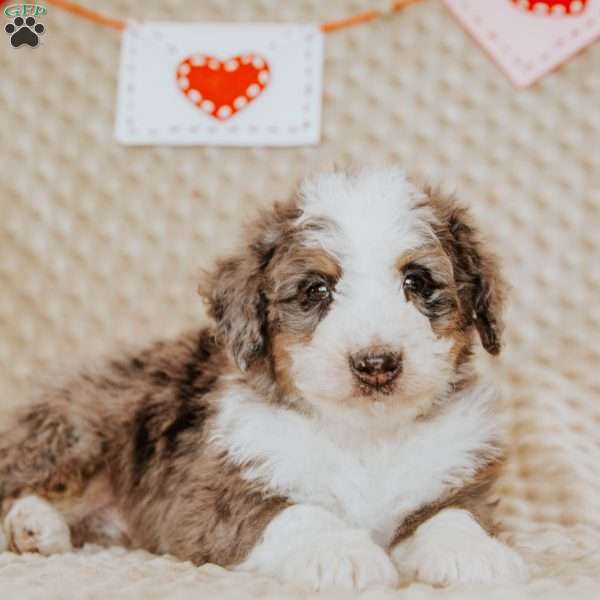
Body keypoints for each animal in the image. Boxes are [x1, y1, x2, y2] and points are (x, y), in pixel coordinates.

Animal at [0, 166, 528, 588]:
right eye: (316, 290)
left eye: (416, 282)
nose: (376, 364)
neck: (365, 437)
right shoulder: (206, 495)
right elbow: (295, 512)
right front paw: (343, 552)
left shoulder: (460, 479)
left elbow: (453, 514)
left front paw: (472, 551)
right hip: (81, 427)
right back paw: (31, 522)